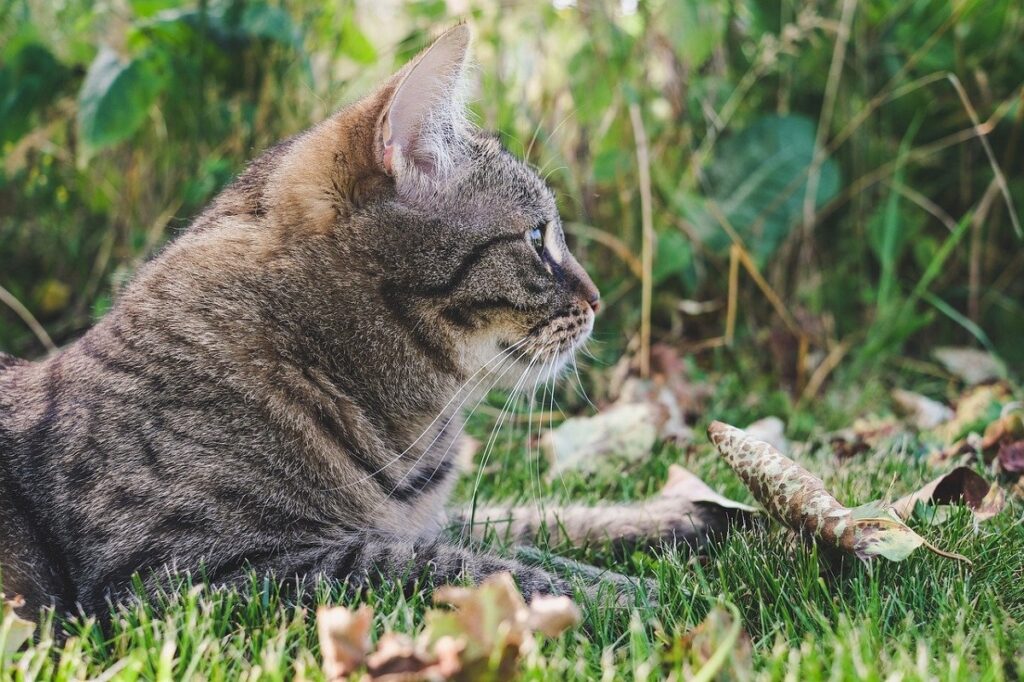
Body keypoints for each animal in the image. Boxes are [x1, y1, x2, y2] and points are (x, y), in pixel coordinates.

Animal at [0, 26, 720, 614]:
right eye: (539, 238)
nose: (597, 299)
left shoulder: (434, 517)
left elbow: (525, 522)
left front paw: (684, 518)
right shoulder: (190, 571)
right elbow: (468, 568)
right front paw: (650, 597)